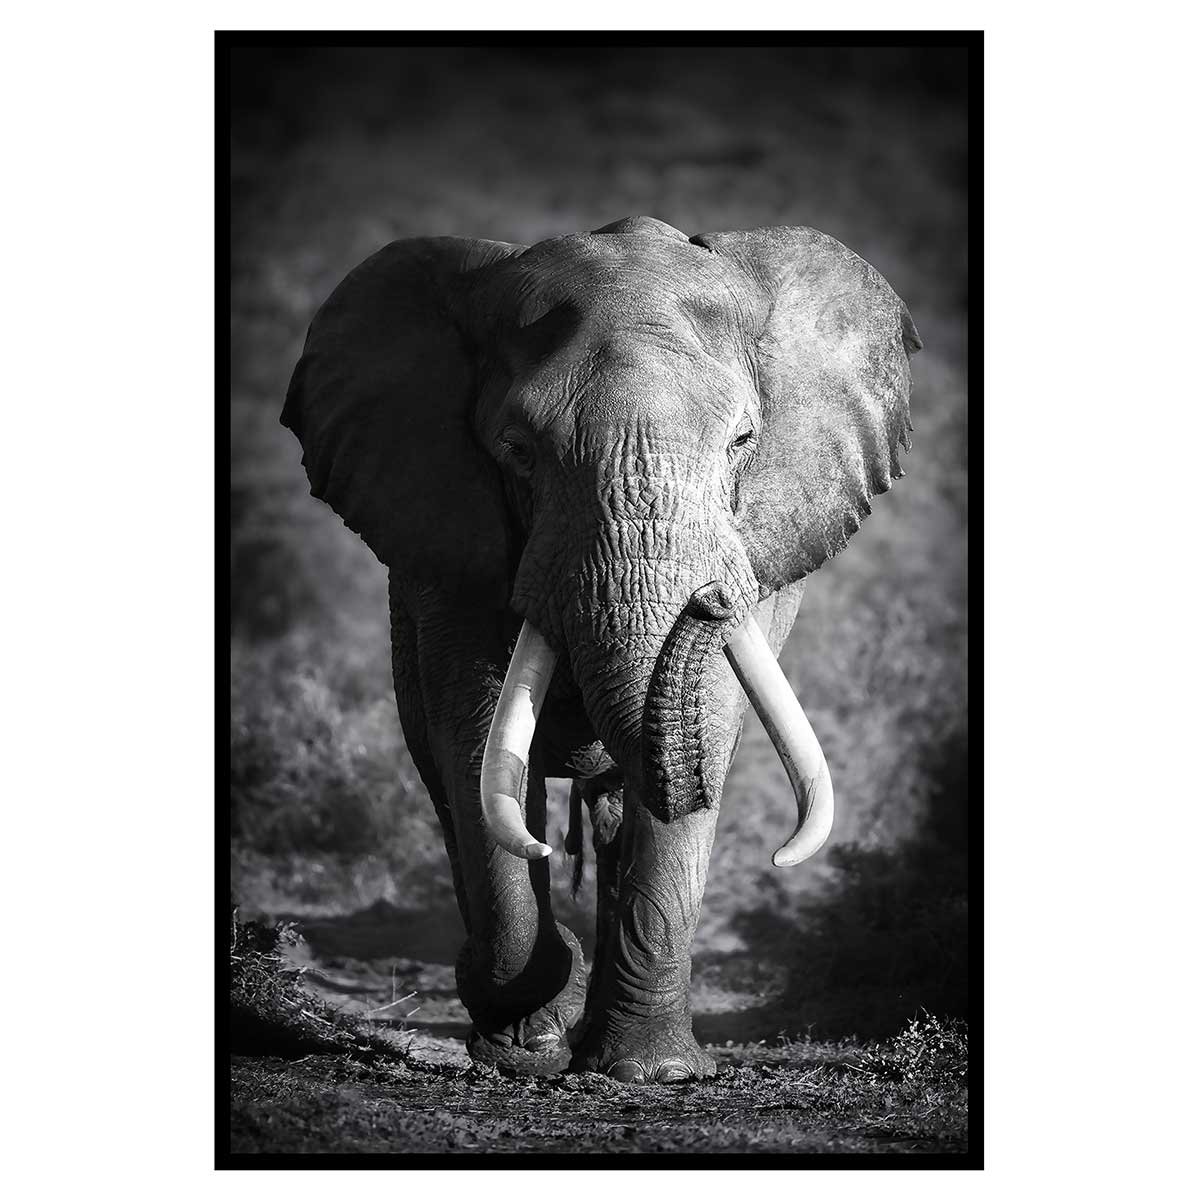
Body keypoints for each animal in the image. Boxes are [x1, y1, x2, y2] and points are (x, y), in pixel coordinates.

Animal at [282, 216, 920, 1083]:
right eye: (519, 450)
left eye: (743, 442)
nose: (711, 599)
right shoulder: (445, 545)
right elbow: (474, 736)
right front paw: (525, 1043)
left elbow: (709, 724)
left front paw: (650, 1072)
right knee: (451, 781)